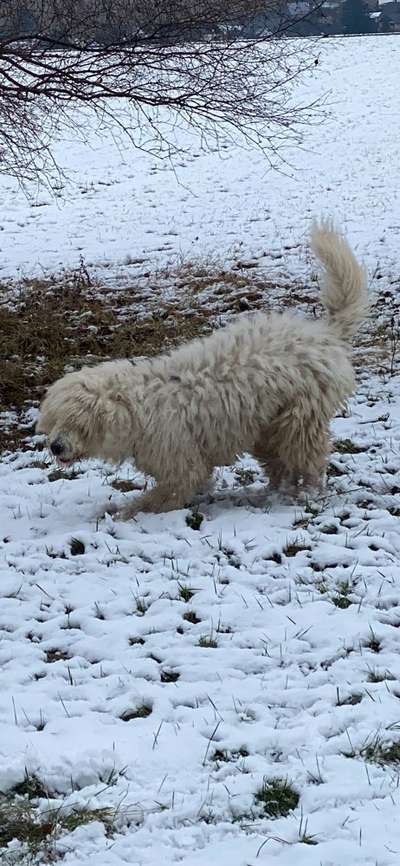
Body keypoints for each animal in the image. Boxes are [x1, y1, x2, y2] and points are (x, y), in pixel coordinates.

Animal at [37, 224, 368, 520]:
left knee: (307, 461)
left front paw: (125, 513)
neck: (135, 408)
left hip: (299, 420)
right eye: (54, 420)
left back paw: (303, 494)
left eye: (77, 422)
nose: (56, 446)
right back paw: (273, 493)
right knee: (280, 465)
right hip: (267, 427)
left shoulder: (181, 465)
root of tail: (324, 334)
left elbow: (164, 495)